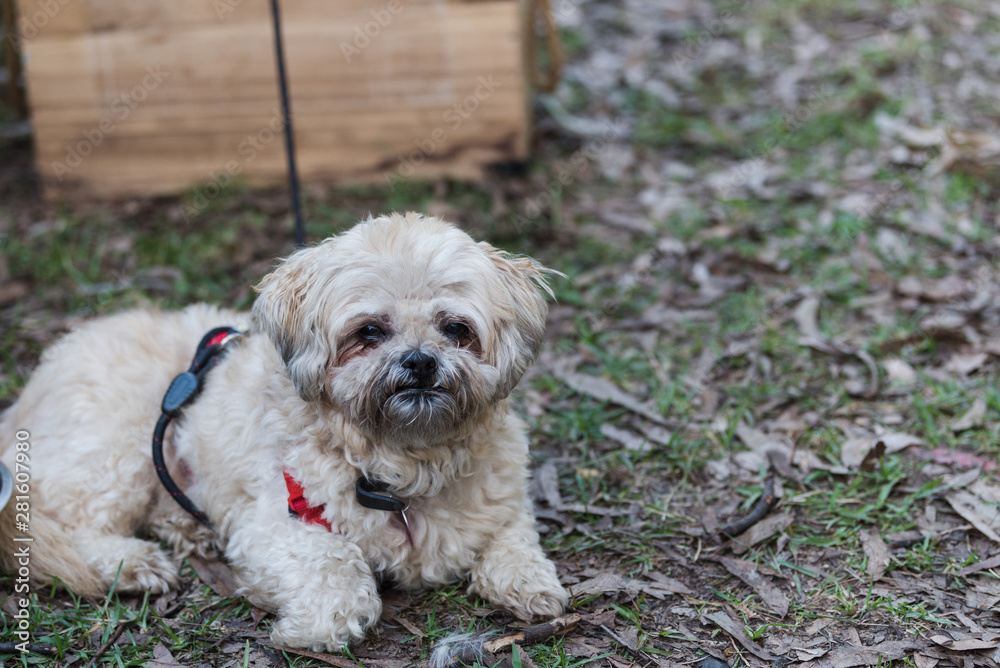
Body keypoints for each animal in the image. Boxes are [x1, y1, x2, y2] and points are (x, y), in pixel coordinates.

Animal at [0, 213, 568, 648]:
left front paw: (531, 584)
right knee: (73, 524)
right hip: (121, 450)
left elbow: (513, 538)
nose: (420, 361)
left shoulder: (501, 503)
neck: (402, 464)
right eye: (369, 332)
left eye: (456, 329)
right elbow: (336, 565)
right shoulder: (277, 522)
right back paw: (134, 562)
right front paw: (318, 624)